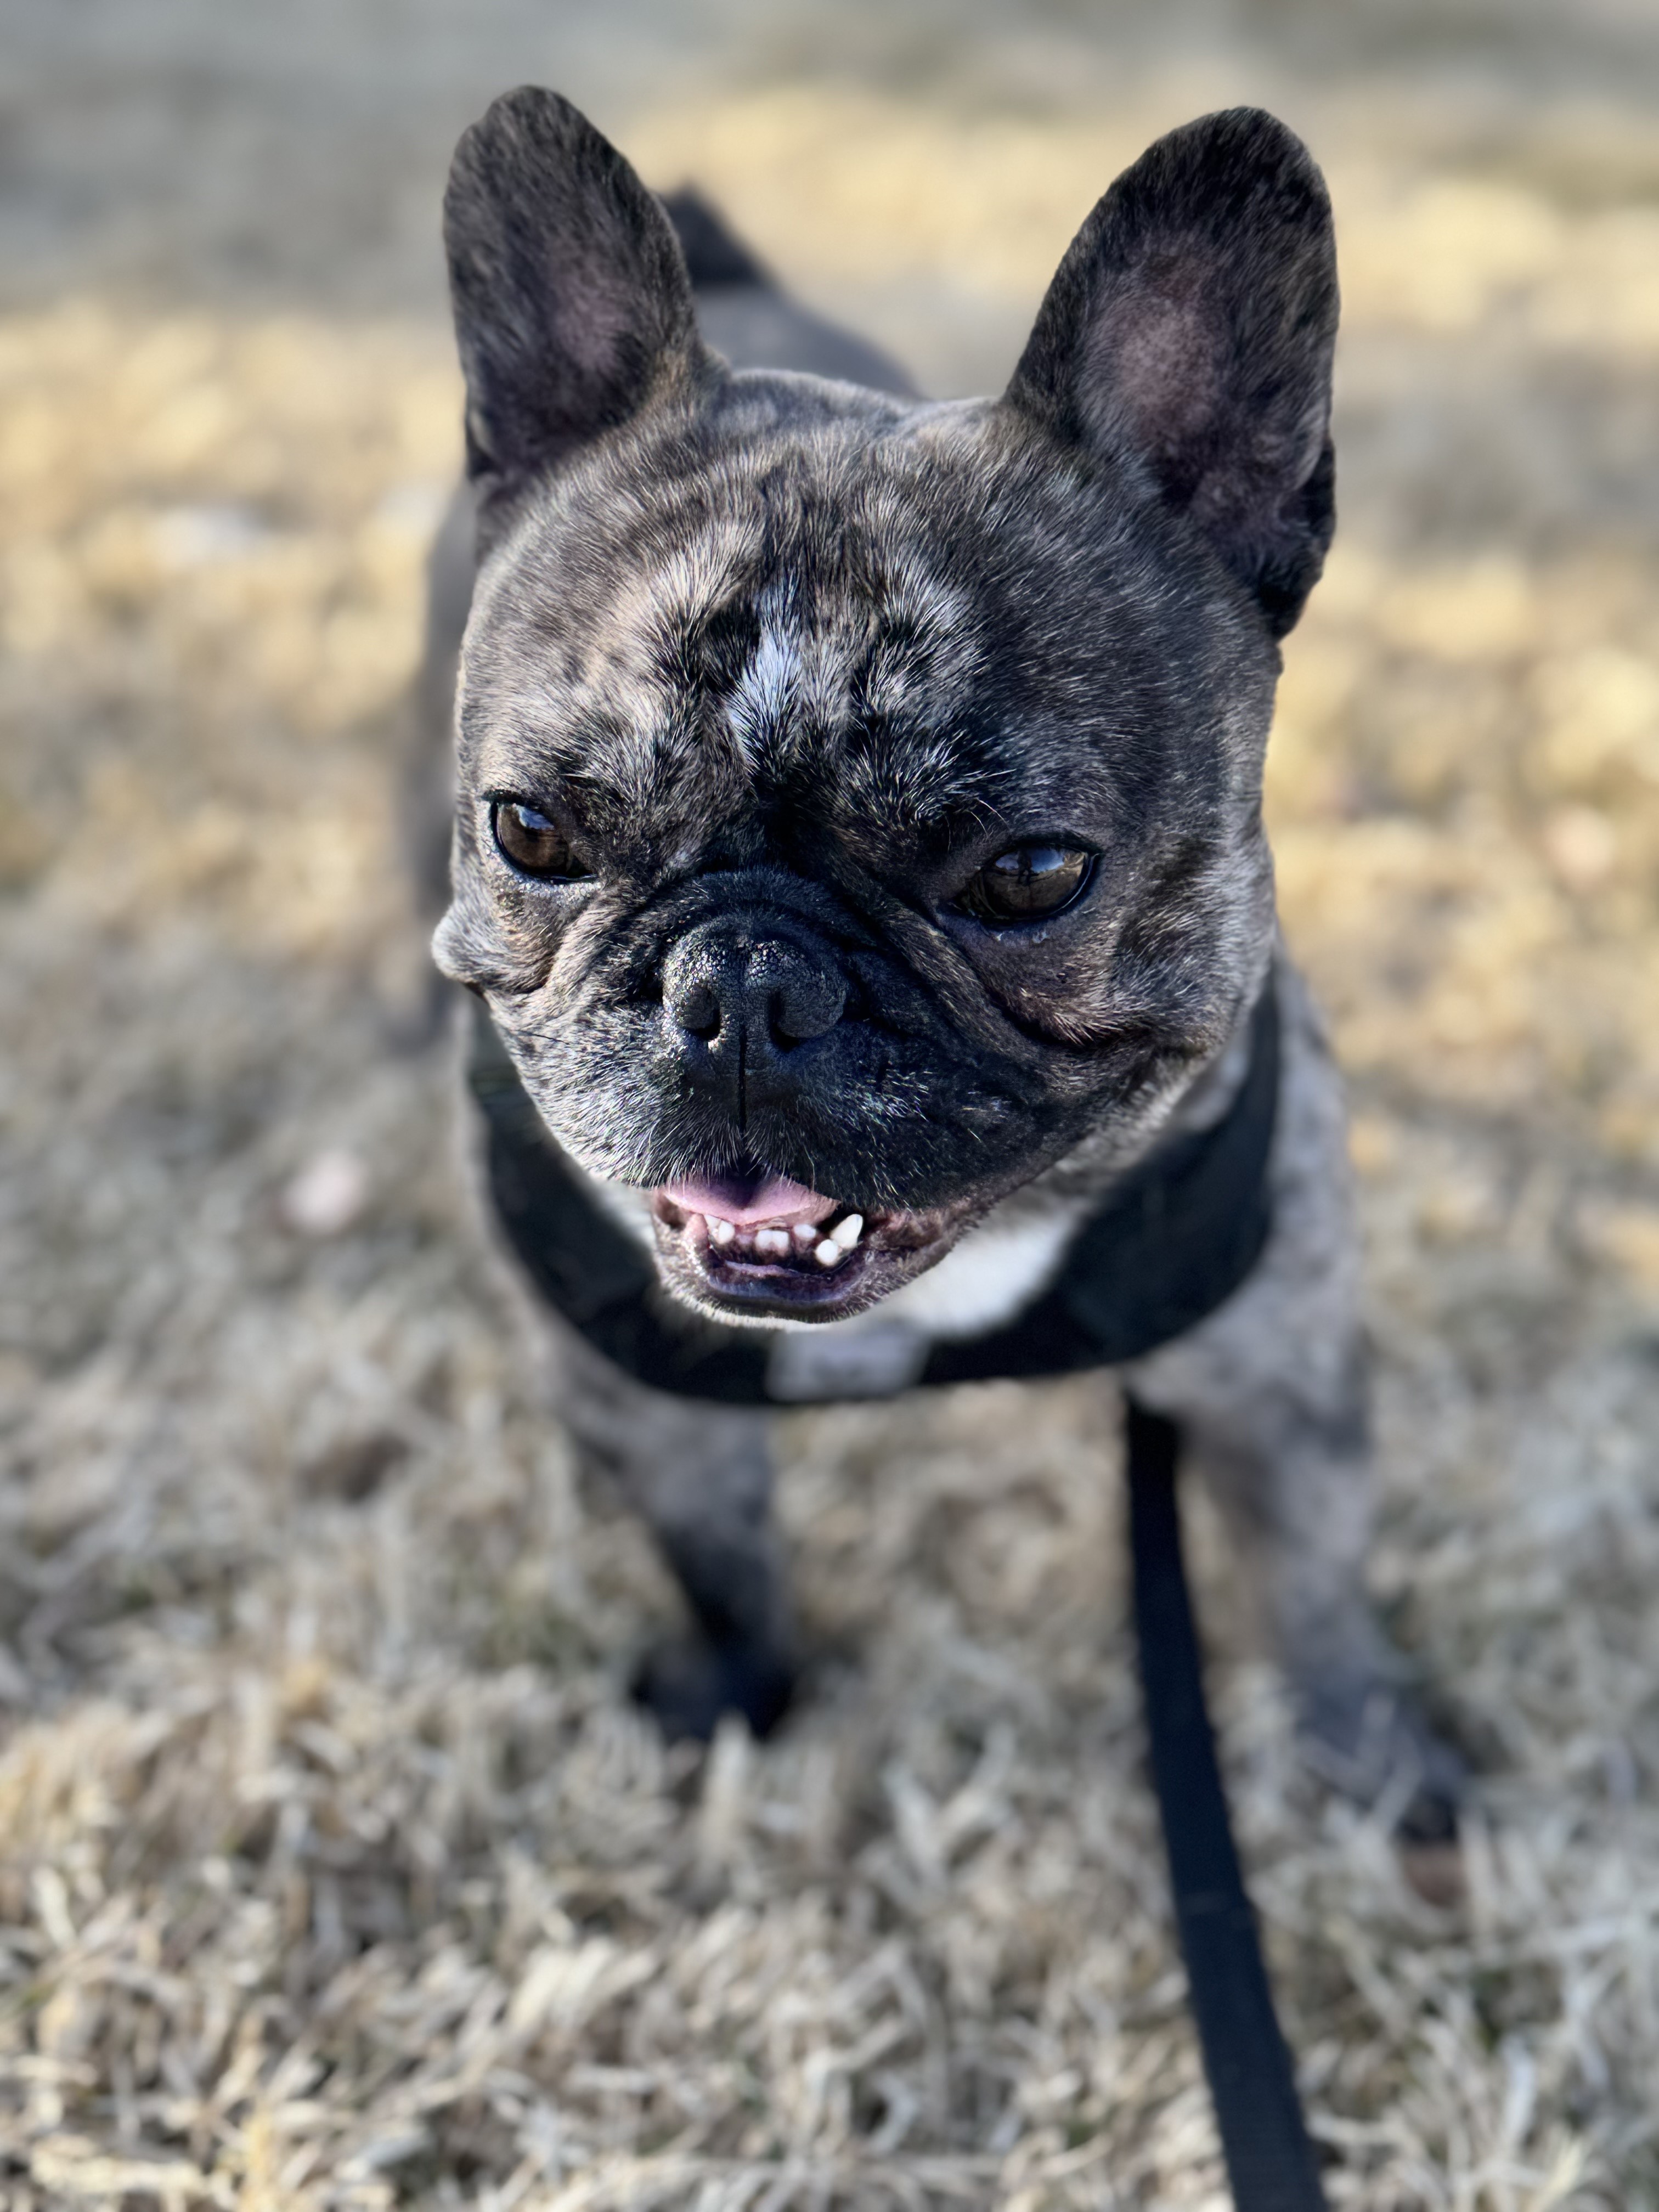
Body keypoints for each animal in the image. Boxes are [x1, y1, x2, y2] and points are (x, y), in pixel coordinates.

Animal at [416, 87, 1463, 1839]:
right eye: (533, 833)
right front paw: (734, 1697)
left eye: (1031, 875)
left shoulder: (1280, 1376)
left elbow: (1317, 1590)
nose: (741, 987)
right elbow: (716, 1567)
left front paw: (1370, 1754)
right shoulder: (638, 1405)